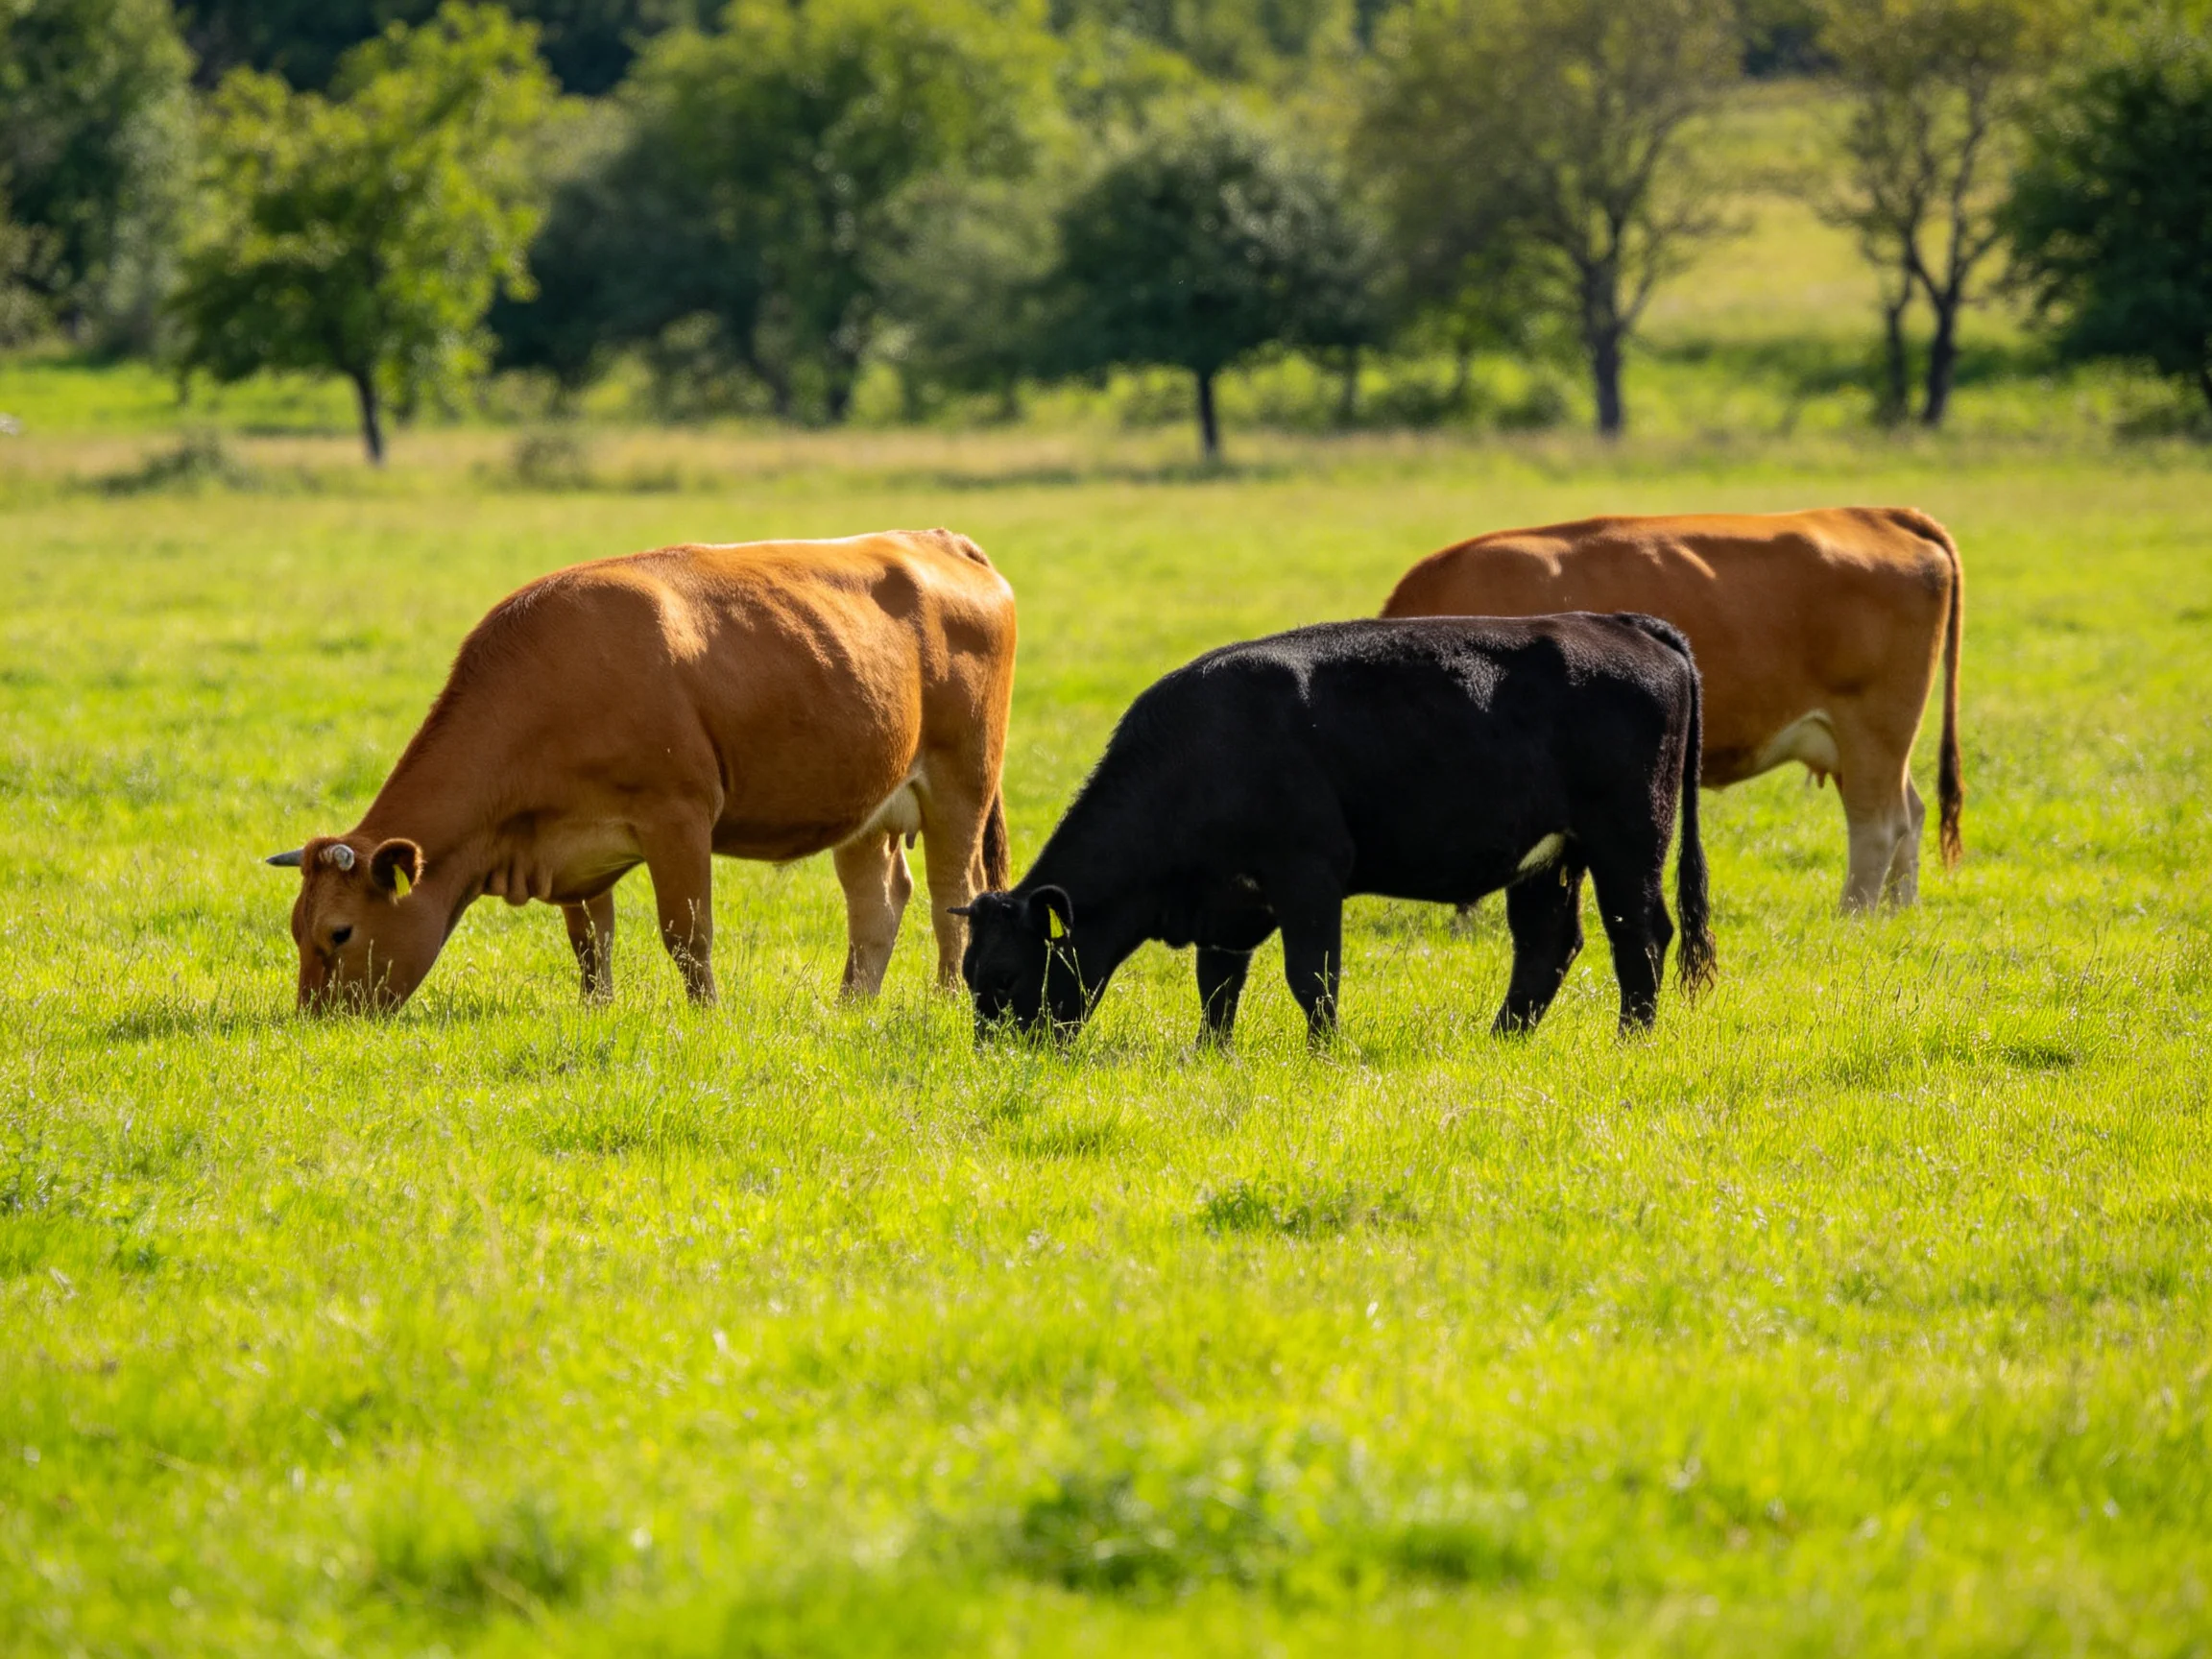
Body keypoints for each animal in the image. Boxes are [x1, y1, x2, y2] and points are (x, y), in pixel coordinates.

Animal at [265, 529, 1017, 1012]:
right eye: (297, 930)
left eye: (340, 932)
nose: (316, 1021)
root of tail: (940, 540)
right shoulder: (563, 844)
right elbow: (589, 941)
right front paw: (596, 1010)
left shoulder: (677, 817)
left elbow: (687, 933)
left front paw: (707, 1015)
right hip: (867, 806)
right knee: (877, 904)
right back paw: (850, 1008)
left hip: (962, 784)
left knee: (955, 895)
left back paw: (946, 1001)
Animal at [954, 614, 1714, 1048]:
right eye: (967, 975)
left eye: (1004, 974)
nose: (994, 1058)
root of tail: (1624, 625)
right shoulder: (1230, 902)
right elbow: (1217, 985)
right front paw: (1210, 1054)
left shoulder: (1308, 873)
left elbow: (1312, 975)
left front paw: (1324, 1054)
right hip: (1549, 859)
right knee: (1547, 945)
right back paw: (1502, 1041)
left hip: (1628, 839)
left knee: (1641, 935)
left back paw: (1631, 1041)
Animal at [1381, 508, 1964, 912]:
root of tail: (1877, 514)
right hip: (1860, 744)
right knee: (1910, 814)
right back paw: (1898, 913)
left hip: (1873, 727)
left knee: (1879, 826)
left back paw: (1853, 918)